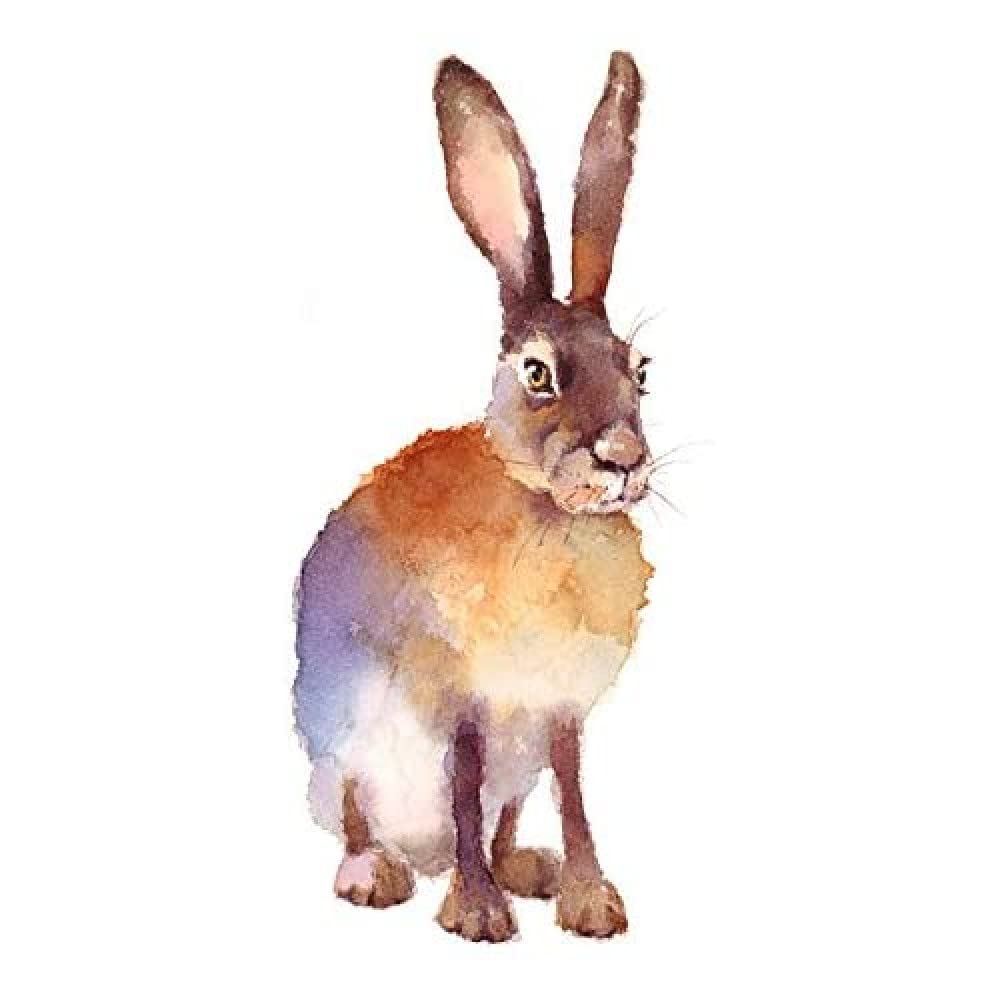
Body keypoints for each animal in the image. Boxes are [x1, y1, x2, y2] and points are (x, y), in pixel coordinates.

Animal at [294, 51, 654, 942]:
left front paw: (591, 902)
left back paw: (527, 867)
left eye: (641, 372)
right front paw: (480, 915)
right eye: (537, 373)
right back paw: (376, 874)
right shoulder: (460, 700)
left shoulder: (557, 710)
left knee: (508, 814)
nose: (625, 460)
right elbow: (462, 786)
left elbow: (573, 789)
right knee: (358, 813)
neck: (551, 514)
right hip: (342, 743)